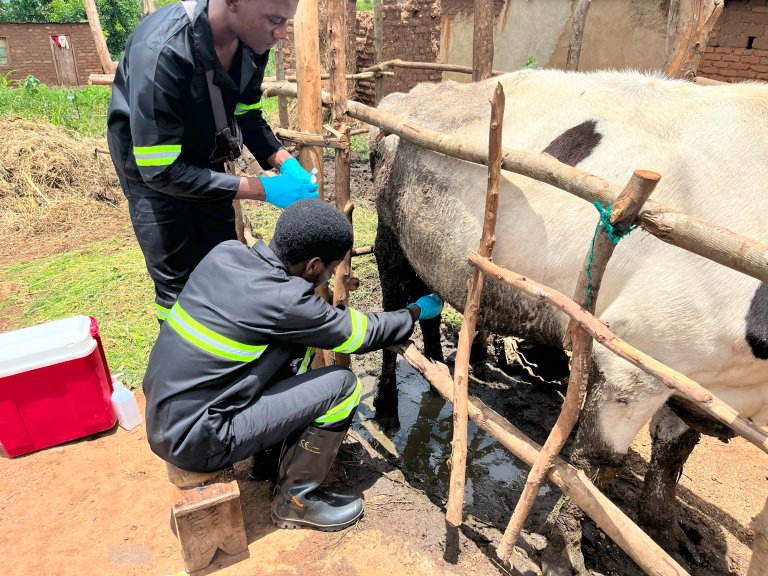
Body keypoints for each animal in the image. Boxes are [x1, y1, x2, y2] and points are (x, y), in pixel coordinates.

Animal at [368, 70, 768, 572]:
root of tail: (413, 92)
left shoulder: (696, 378)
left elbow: (673, 452)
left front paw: (663, 531)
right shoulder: (637, 354)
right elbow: (595, 462)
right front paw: (564, 550)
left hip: (436, 250)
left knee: (430, 307)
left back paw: (441, 375)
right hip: (389, 234)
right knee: (392, 319)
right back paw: (387, 408)